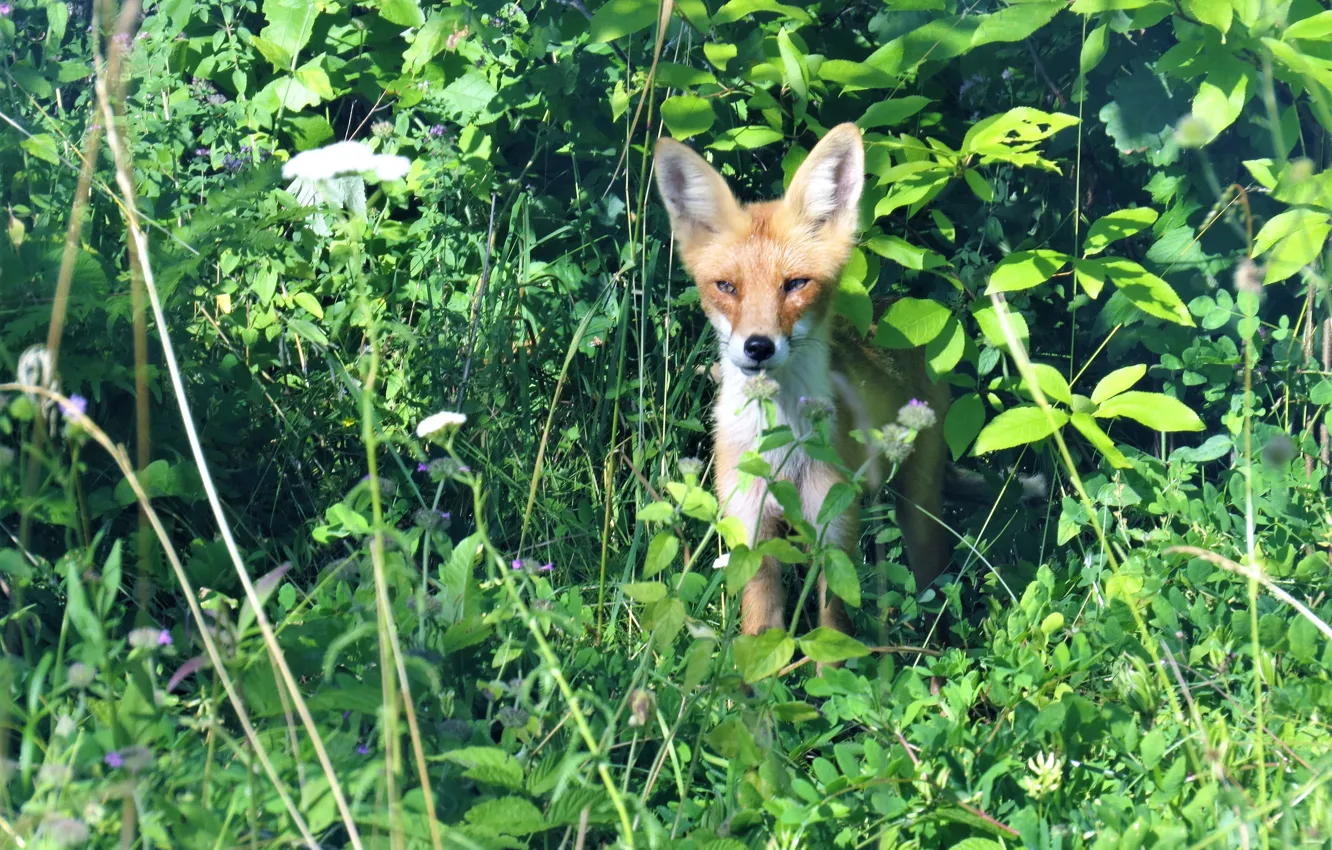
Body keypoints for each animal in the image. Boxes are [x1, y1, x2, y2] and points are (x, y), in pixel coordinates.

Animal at [653, 123, 951, 640]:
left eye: (795, 284)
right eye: (726, 287)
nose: (758, 346)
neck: (782, 448)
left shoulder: (834, 531)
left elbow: (833, 630)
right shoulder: (749, 531)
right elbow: (760, 633)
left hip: (917, 512)